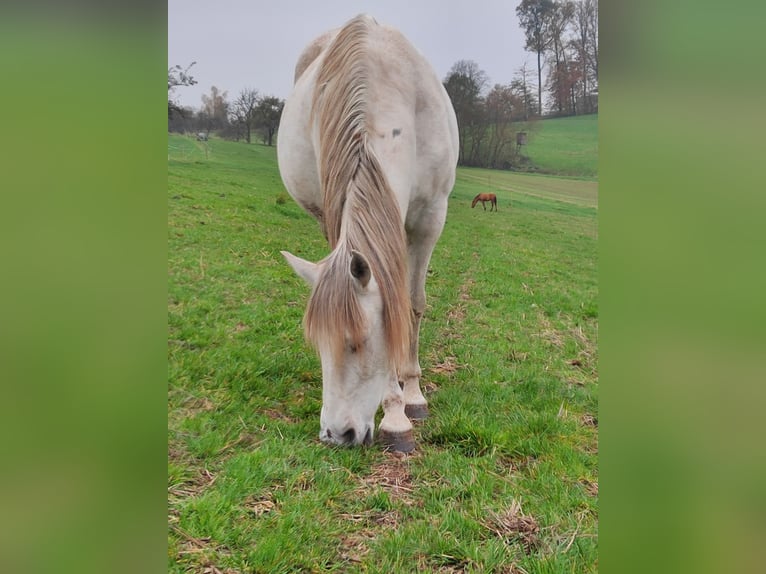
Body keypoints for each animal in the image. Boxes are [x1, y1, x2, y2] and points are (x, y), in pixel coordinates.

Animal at [276, 14, 460, 454]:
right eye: (318, 345)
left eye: (360, 341)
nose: (335, 435)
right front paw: (394, 412)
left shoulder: (430, 219)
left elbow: (411, 306)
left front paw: (411, 399)